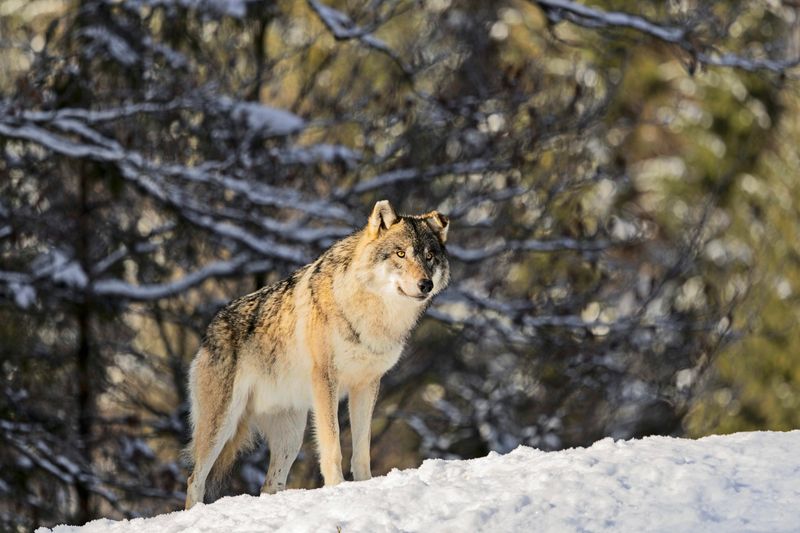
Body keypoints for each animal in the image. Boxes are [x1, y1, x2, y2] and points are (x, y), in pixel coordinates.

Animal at [184, 200, 450, 508]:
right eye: (400, 253)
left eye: (430, 256)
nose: (425, 284)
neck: (372, 314)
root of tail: (210, 329)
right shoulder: (326, 380)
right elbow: (332, 445)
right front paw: (337, 488)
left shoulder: (367, 384)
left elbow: (362, 448)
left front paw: (365, 485)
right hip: (221, 425)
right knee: (194, 479)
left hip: (291, 436)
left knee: (269, 483)